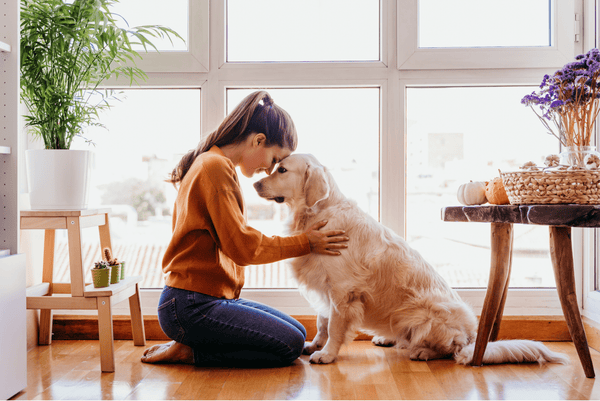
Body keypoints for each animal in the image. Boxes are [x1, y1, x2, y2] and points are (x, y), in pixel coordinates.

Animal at [252, 153, 568, 366]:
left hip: (423, 313)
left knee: (450, 350)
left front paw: (327, 354)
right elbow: (322, 321)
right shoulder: (325, 287)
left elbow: (335, 326)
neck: (317, 213)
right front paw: (314, 344)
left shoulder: (342, 291)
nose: (254, 184)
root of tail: (471, 337)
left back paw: (421, 351)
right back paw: (388, 338)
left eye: (282, 170)